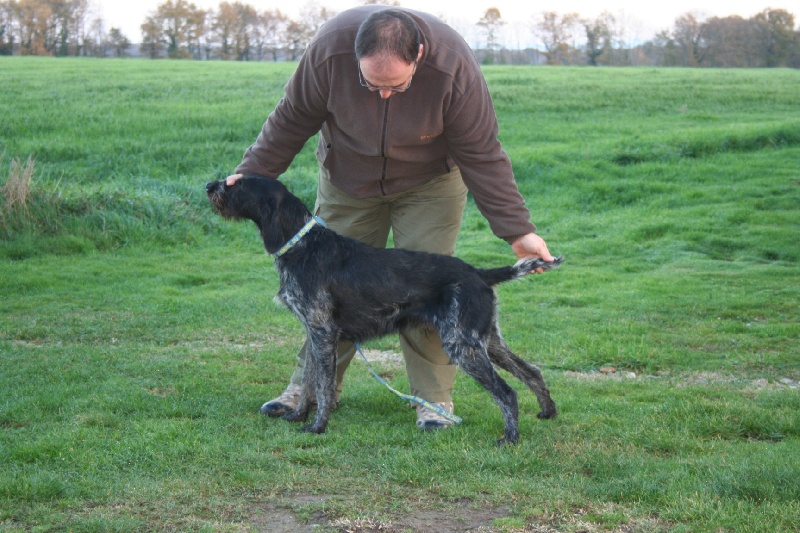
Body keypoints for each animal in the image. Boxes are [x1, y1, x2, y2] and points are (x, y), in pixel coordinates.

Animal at [206, 176, 564, 444]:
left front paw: (317, 426)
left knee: (507, 392)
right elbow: (308, 380)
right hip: (486, 340)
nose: (209, 185)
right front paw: (297, 415)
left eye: (237, 184)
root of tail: (478, 273)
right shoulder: (315, 333)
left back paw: (510, 438)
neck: (303, 245)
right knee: (532, 371)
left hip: (463, 346)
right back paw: (547, 412)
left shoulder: (323, 332)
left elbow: (322, 385)